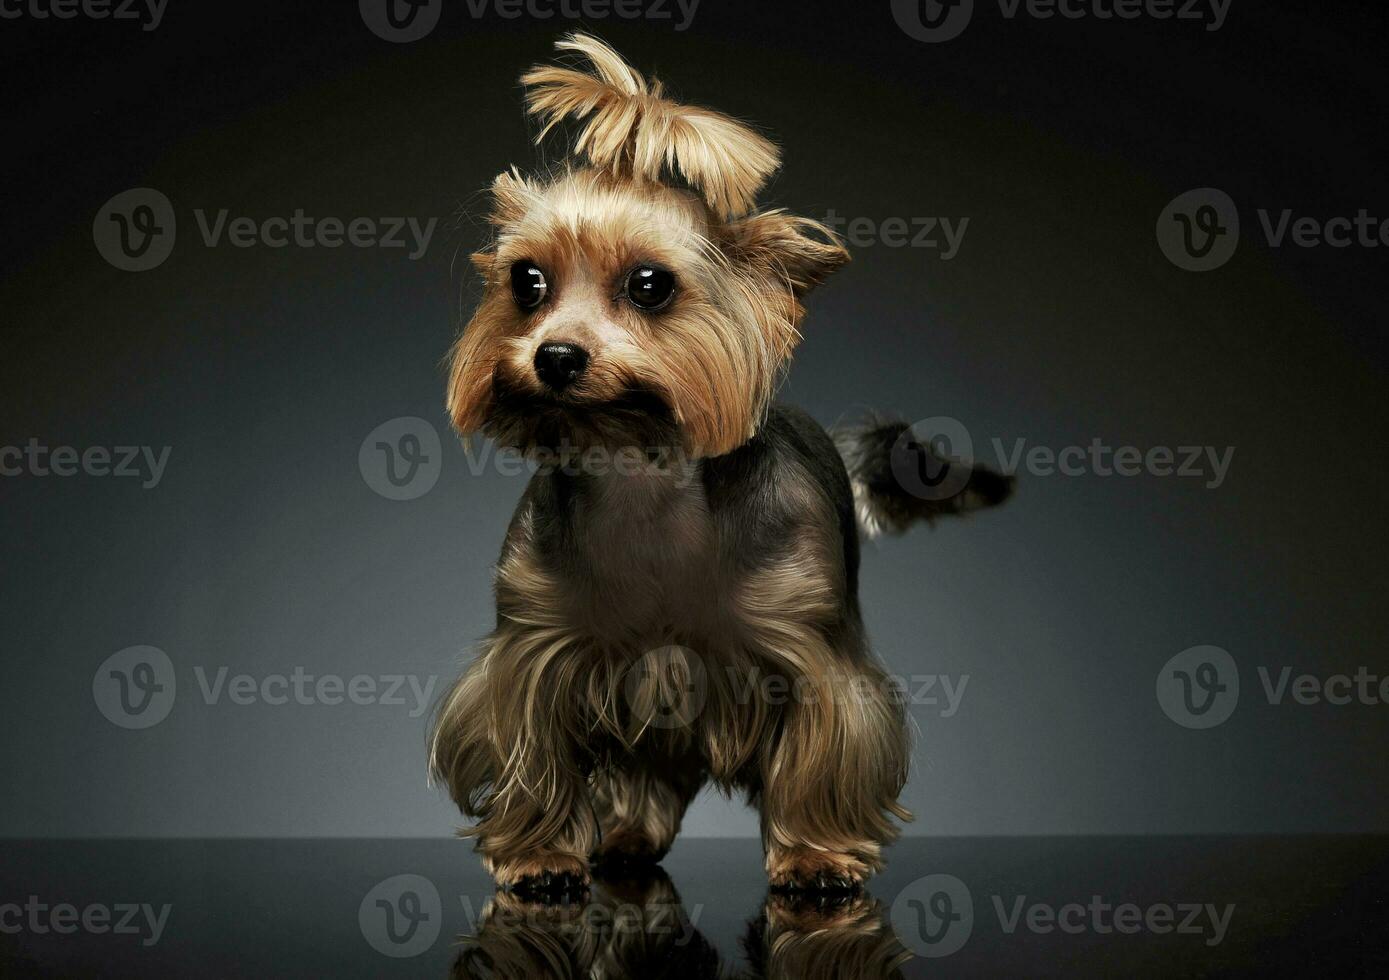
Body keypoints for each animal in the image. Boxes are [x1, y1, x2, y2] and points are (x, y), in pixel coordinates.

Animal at [427, 36, 1005, 893]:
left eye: (649, 284)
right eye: (526, 282)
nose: (555, 357)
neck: (638, 471)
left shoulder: (806, 654)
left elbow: (818, 754)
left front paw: (814, 854)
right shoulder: (536, 648)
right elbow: (536, 753)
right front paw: (538, 853)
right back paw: (626, 837)